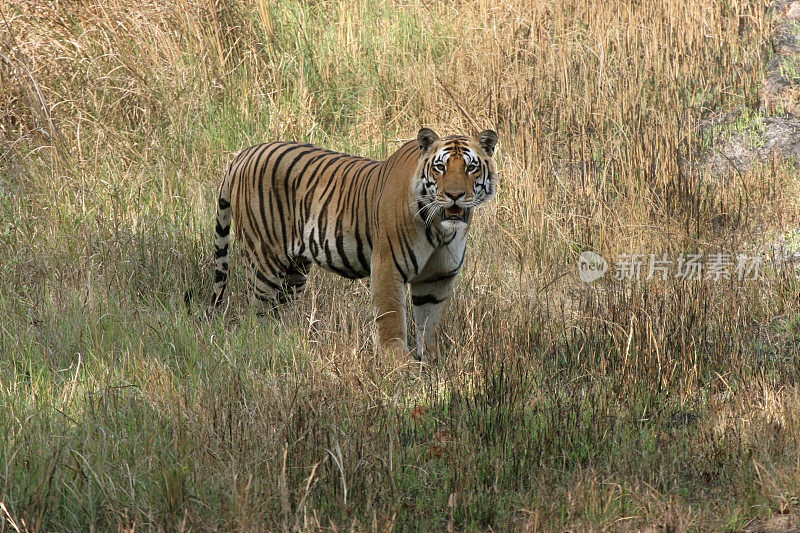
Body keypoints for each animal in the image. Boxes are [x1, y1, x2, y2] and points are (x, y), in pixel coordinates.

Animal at [211, 128, 500, 362]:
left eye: (470, 168)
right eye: (440, 168)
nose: (454, 195)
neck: (441, 228)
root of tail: (244, 153)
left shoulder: (438, 277)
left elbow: (430, 324)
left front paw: (431, 363)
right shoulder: (388, 266)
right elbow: (392, 318)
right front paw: (400, 366)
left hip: (295, 271)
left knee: (279, 310)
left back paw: (285, 343)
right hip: (265, 259)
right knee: (258, 312)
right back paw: (265, 347)